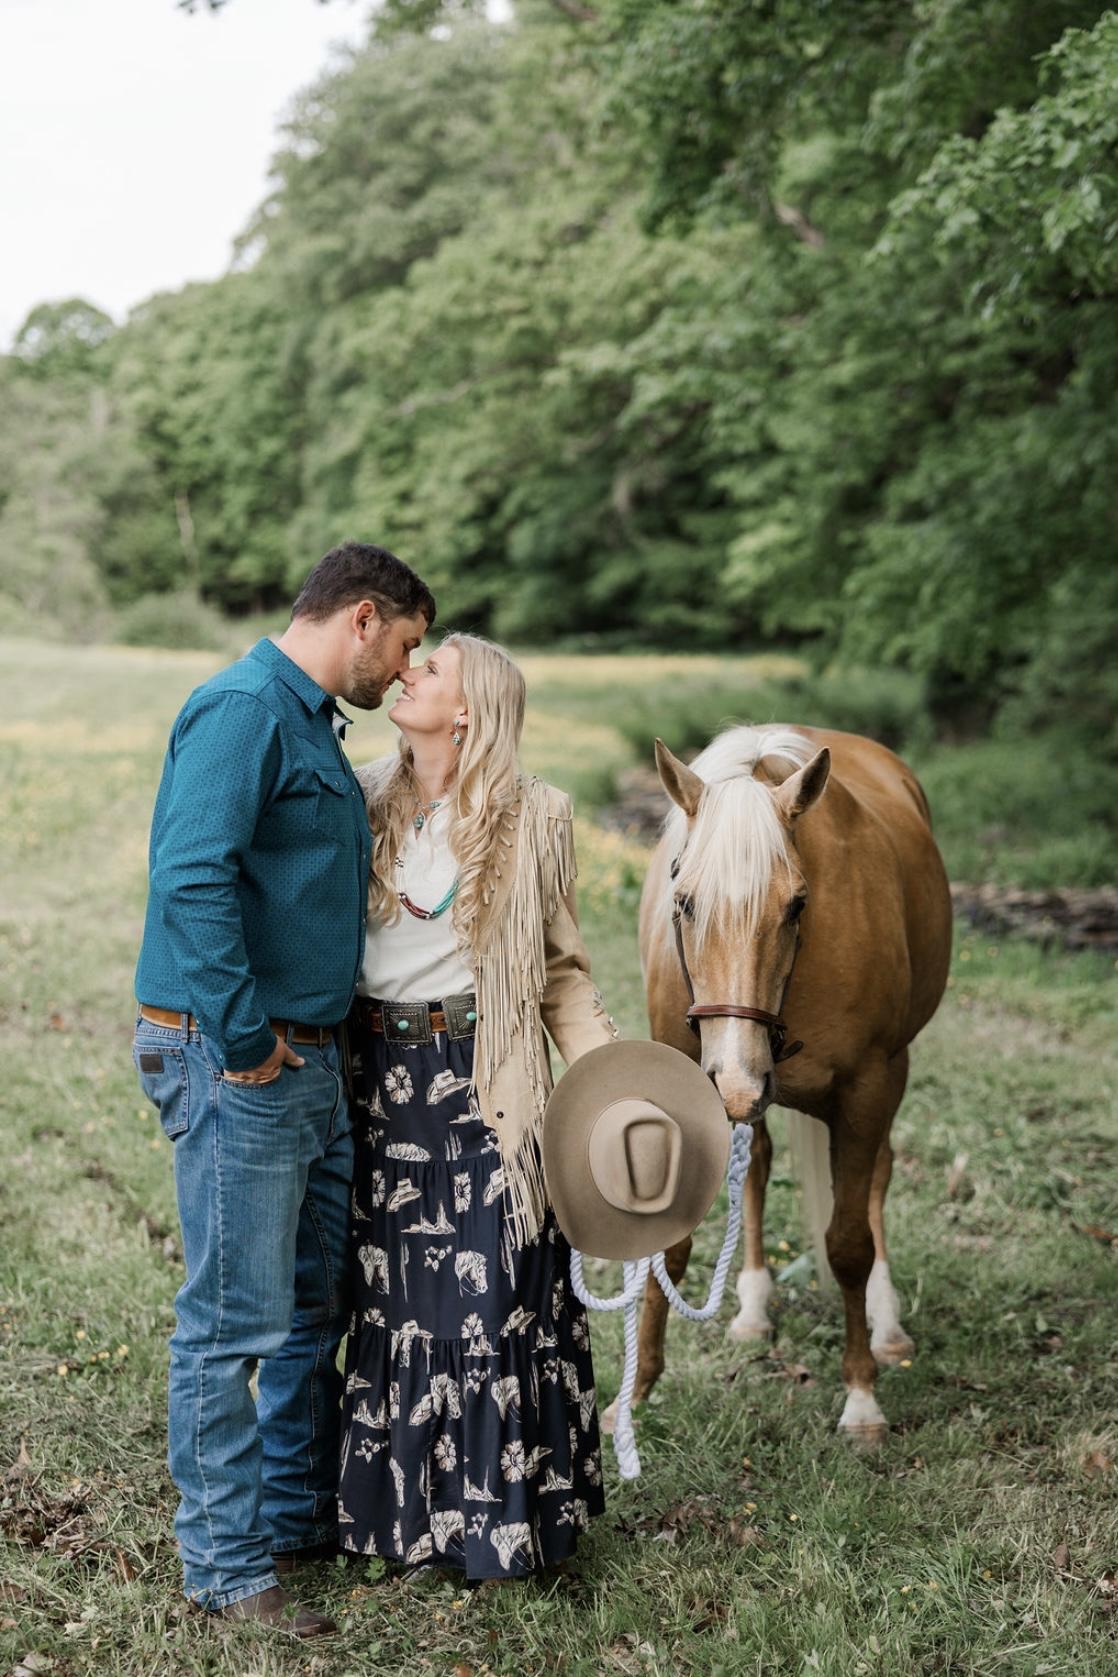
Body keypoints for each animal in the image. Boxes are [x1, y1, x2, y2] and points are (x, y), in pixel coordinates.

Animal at [613, 721, 952, 1442]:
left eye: (797, 905)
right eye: (683, 901)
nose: (735, 1080)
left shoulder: (868, 1089)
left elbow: (848, 1244)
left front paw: (861, 1397)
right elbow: (673, 1242)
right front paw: (637, 1393)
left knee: (877, 1179)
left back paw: (886, 1324)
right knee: (760, 1168)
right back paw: (753, 1308)